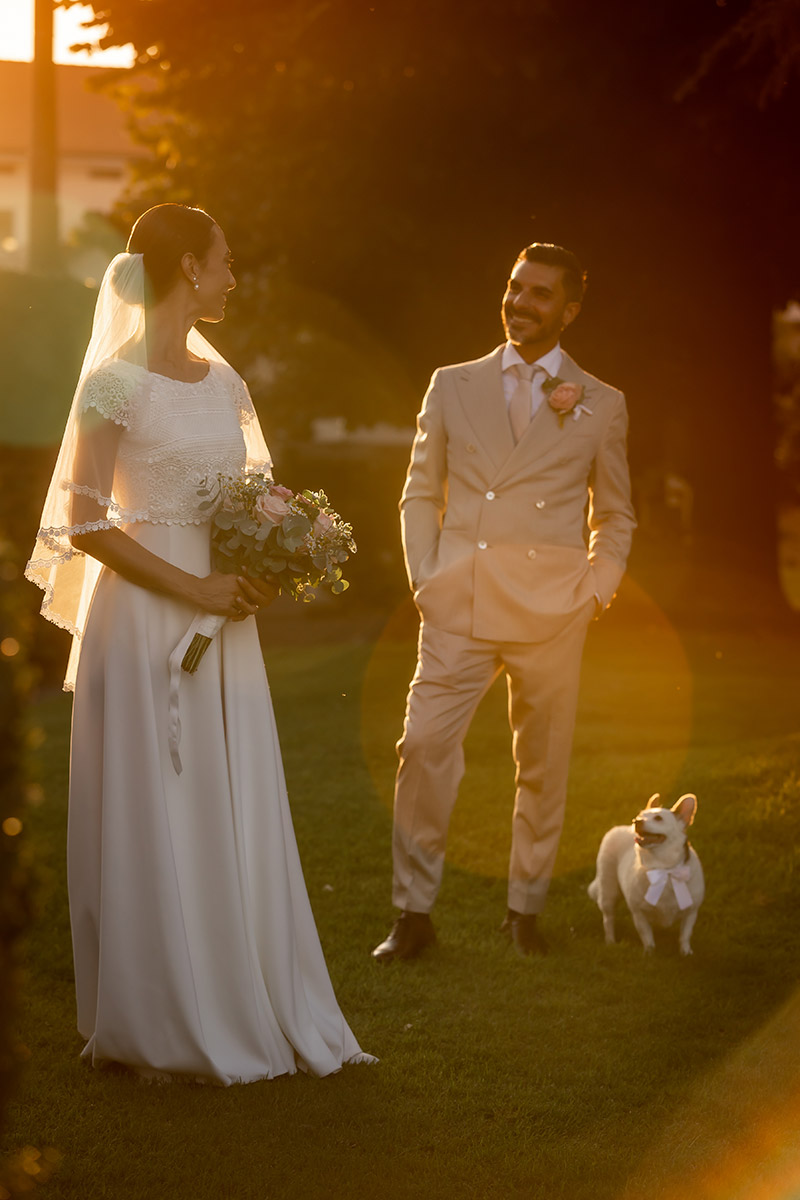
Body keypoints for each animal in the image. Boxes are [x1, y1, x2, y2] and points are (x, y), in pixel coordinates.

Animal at [587, 796, 705, 955]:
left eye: (658, 818)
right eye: (640, 815)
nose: (636, 821)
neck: (663, 869)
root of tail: (621, 827)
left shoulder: (691, 912)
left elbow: (685, 935)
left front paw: (686, 952)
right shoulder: (639, 913)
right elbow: (647, 936)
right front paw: (649, 953)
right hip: (608, 891)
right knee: (608, 918)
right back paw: (610, 941)